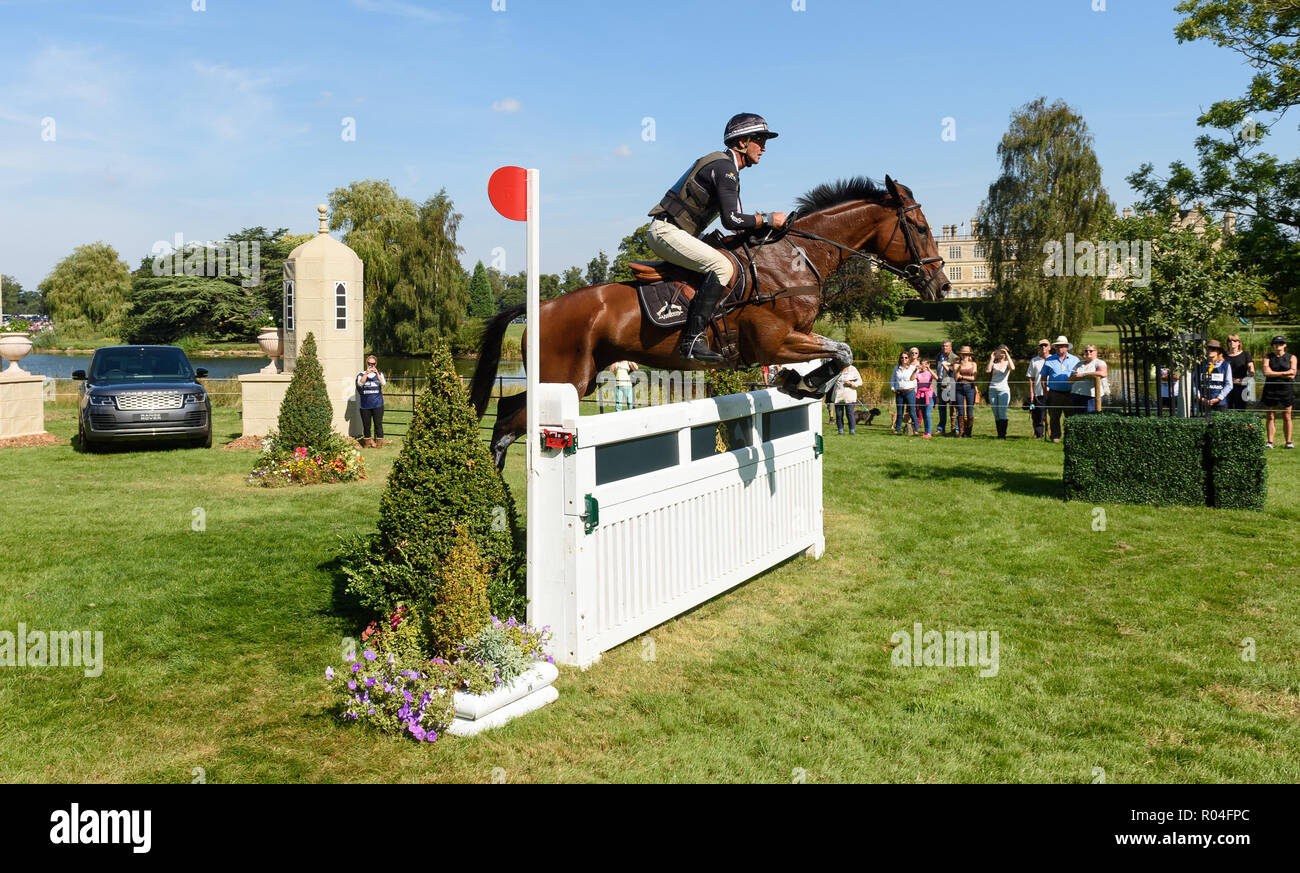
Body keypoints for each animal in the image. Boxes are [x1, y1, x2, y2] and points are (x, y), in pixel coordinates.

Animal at [473, 172, 951, 467]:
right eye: (920, 228)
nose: (943, 287)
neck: (796, 258)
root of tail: (539, 308)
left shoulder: (798, 335)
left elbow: (840, 353)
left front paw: (799, 382)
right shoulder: (776, 340)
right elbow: (843, 351)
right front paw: (805, 382)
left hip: (577, 378)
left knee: (509, 411)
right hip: (565, 378)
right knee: (507, 419)